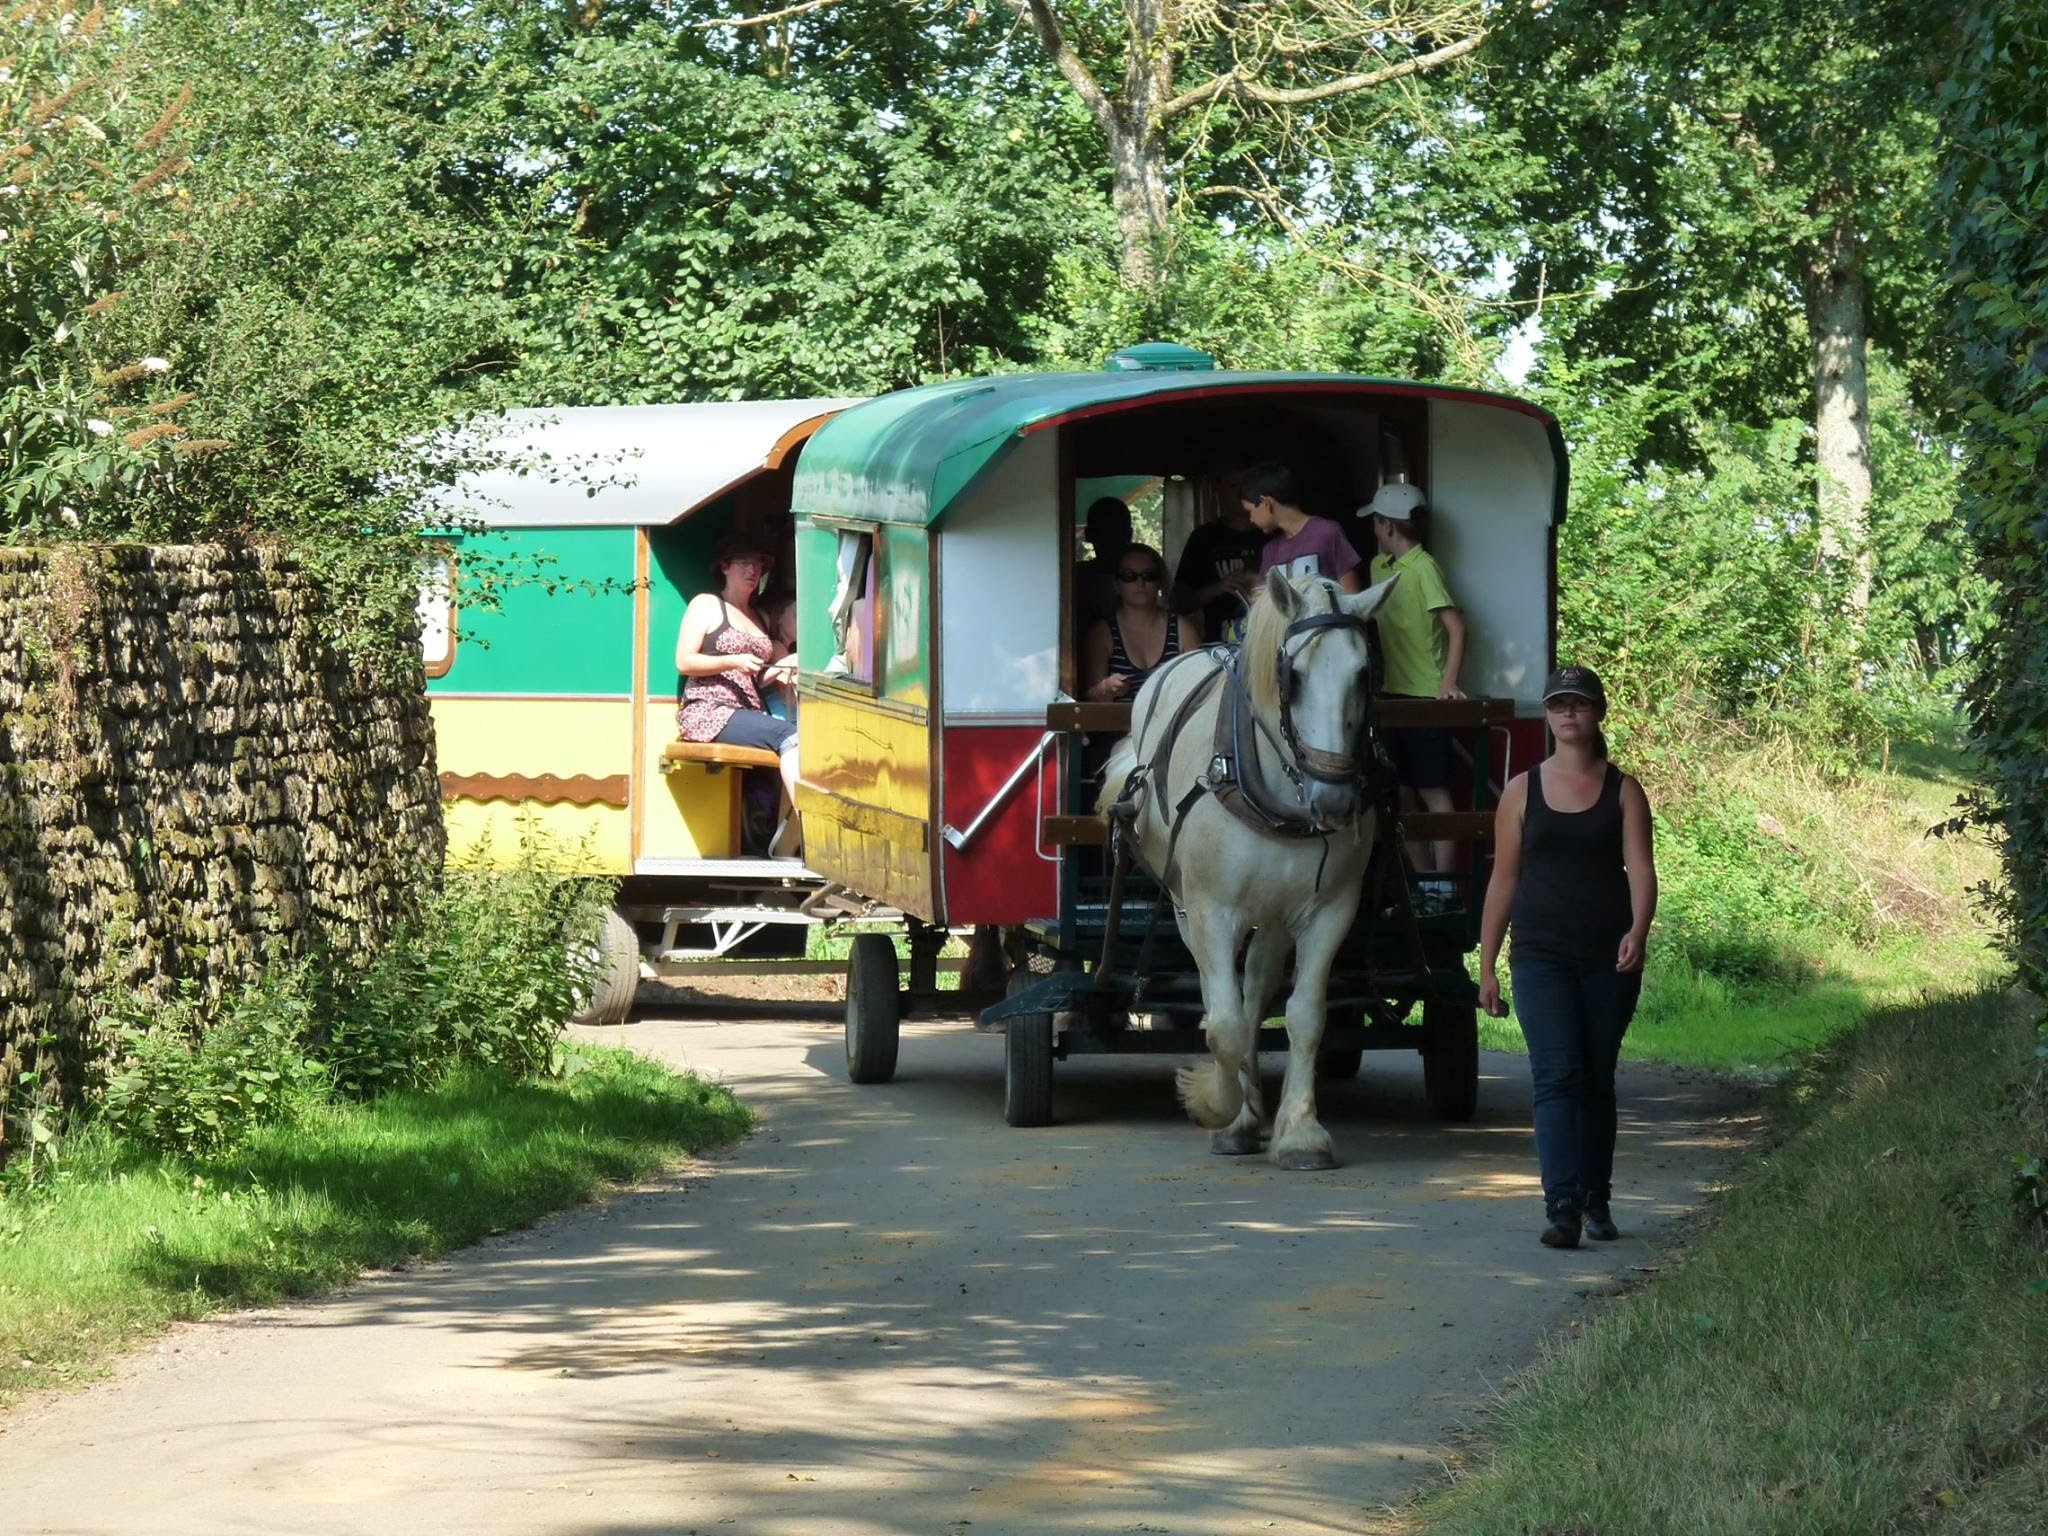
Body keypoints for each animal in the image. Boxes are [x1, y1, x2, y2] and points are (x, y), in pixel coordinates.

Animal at [1105, 573, 1392, 1171]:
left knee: (1257, 987)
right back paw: (1240, 1113)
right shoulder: (1213, 911)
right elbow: (1225, 1026)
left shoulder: (1331, 910)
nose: (1334, 799)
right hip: (1186, 906)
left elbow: (1304, 1015)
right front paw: (1218, 1107)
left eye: (1364, 673)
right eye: (1293, 677)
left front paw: (1300, 1131)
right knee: (1222, 996)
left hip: (1277, 912)